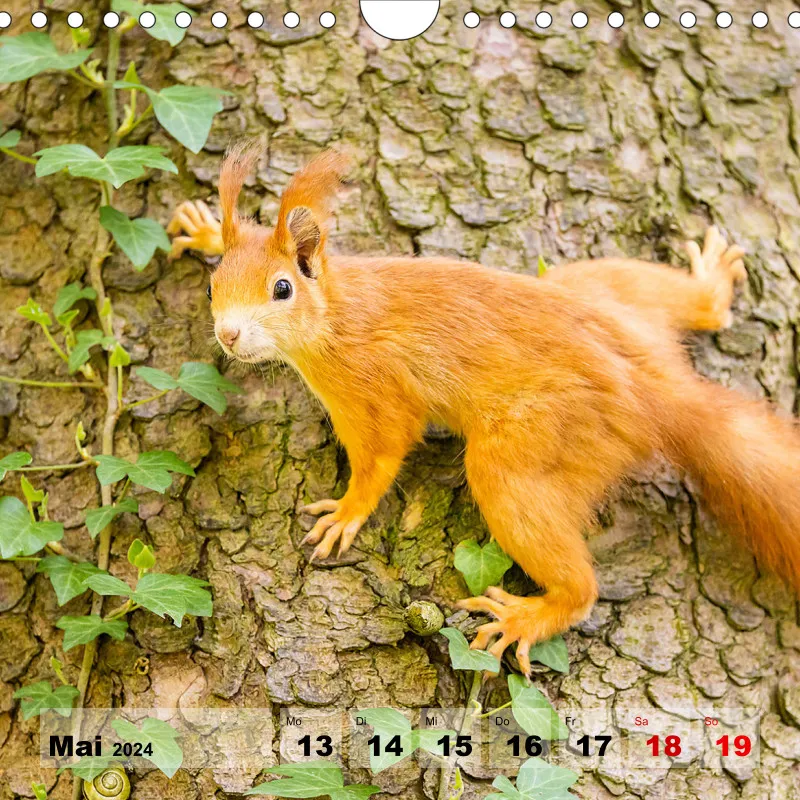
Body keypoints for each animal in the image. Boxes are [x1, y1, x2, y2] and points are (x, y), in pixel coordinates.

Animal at [167, 145, 800, 675]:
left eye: (282, 289)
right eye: (212, 288)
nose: (227, 335)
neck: (336, 310)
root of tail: (655, 393)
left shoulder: (371, 386)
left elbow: (385, 450)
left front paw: (347, 512)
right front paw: (207, 230)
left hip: (528, 451)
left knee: (573, 578)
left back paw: (529, 616)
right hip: (607, 293)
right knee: (674, 299)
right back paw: (709, 286)